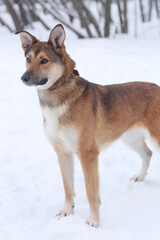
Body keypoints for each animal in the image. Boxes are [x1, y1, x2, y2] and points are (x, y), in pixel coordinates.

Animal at [16, 23, 160, 227]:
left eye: (44, 60)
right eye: (28, 59)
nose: (24, 78)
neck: (57, 99)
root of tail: (158, 87)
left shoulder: (88, 154)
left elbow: (91, 192)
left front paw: (93, 221)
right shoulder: (62, 152)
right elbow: (68, 188)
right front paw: (67, 211)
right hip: (130, 139)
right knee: (147, 153)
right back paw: (140, 176)